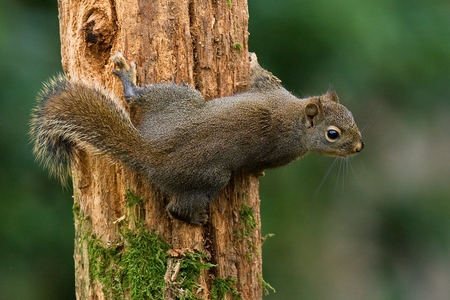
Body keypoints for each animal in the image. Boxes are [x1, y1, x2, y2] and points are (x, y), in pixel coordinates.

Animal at [29, 52, 364, 225]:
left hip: (174, 102)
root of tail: (151, 152)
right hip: (209, 176)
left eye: (352, 116)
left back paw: (128, 80)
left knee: (135, 98)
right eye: (333, 134)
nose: (360, 147)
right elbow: (262, 77)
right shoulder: (278, 134)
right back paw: (195, 217)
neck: (295, 118)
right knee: (175, 209)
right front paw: (253, 60)